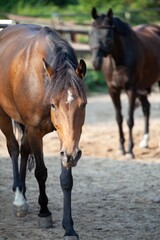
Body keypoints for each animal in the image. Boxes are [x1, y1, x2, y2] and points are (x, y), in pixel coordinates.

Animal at [0, 23, 87, 239]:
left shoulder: (67, 140)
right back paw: (19, 200)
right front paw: (45, 213)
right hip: (4, 115)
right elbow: (41, 172)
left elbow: (66, 180)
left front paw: (69, 228)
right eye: (54, 105)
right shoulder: (34, 130)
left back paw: (21, 191)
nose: (73, 154)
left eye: (83, 104)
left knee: (23, 150)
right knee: (13, 148)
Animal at [89, 7, 160, 158]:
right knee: (146, 108)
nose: (96, 63)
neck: (118, 61)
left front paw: (130, 151)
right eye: (90, 33)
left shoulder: (131, 89)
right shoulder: (113, 90)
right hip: (143, 86)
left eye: (108, 36)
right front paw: (121, 148)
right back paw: (145, 142)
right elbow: (119, 118)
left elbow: (129, 120)